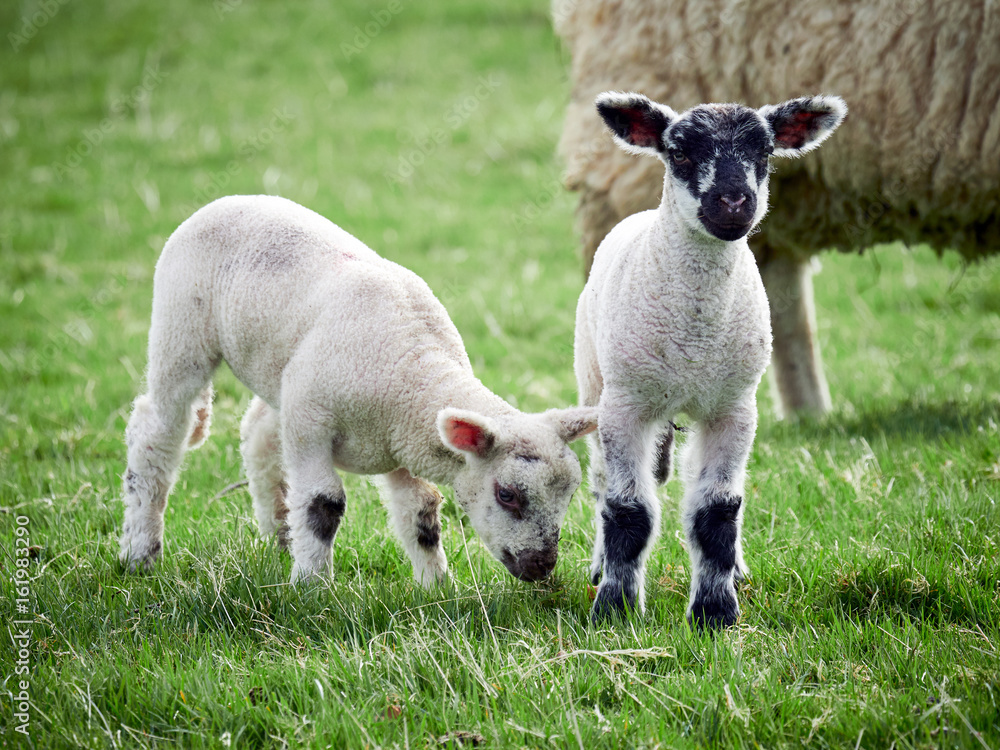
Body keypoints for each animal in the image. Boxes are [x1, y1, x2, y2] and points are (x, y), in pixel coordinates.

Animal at [118, 195, 599, 588]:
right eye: (507, 495)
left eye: (570, 495)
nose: (541, 567)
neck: (415, 371)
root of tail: (226, 200)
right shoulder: (313, 424)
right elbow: (322, 505)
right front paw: (311, 588)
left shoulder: (401, 442)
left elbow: (422, 512)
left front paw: (436, 587)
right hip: (182, 331)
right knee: (156, 433)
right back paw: (140, 552)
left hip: (284, 371)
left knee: (257, 433)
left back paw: (279, 535)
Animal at [575, 91, 846, 626]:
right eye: (678, 152)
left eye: (765, 152)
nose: (734, 202)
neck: (694, 339)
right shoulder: (625, 406)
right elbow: (628, 510)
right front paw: (615, 610)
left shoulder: (734, 408)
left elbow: (718, 511)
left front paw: (715, 613)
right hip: (594, 381)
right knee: (599, 481)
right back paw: (598, 568)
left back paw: (736, 570)